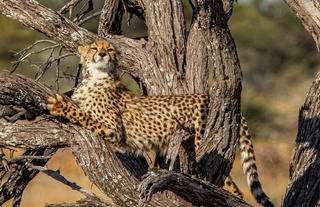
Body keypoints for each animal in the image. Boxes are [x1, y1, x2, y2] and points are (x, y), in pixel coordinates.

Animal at [46, 40, 274, 207]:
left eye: (109, 49)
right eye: (94, 48)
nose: (102, 54)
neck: (95, 77)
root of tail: (206, 95)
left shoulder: (113, 131)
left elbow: (81, 115)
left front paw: (58, 105)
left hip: (199, 141)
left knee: (231, 187)